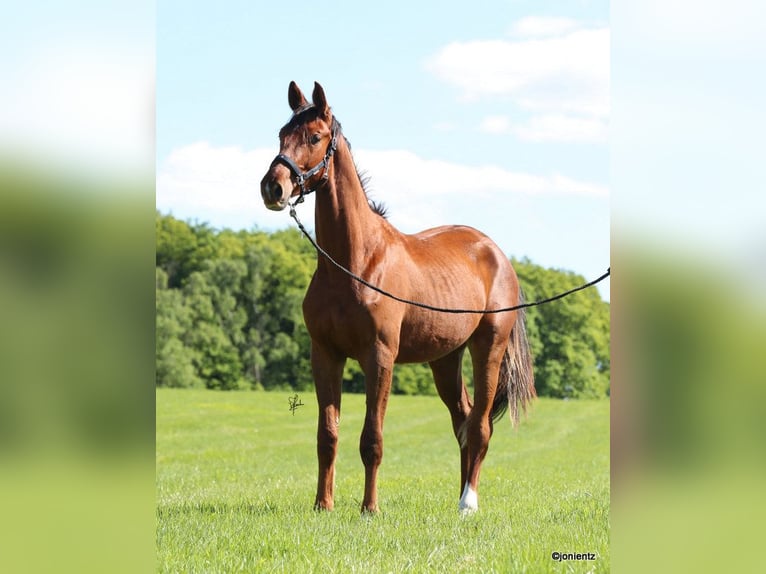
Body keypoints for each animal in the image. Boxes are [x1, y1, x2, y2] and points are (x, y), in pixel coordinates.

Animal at [260, 81, 535, 514]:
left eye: (314, 137)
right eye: (281, 135)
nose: (273, 187)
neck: (354, 263)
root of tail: (496, 253)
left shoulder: (380, 357)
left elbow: (372, 438)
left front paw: (369, 509)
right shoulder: (325, 354)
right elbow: (327, 435)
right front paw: (323, 505)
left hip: (487, 348)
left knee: (480, 425)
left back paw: (468, 503)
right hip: (445, 359)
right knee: (463, 420)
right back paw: (458, 497)